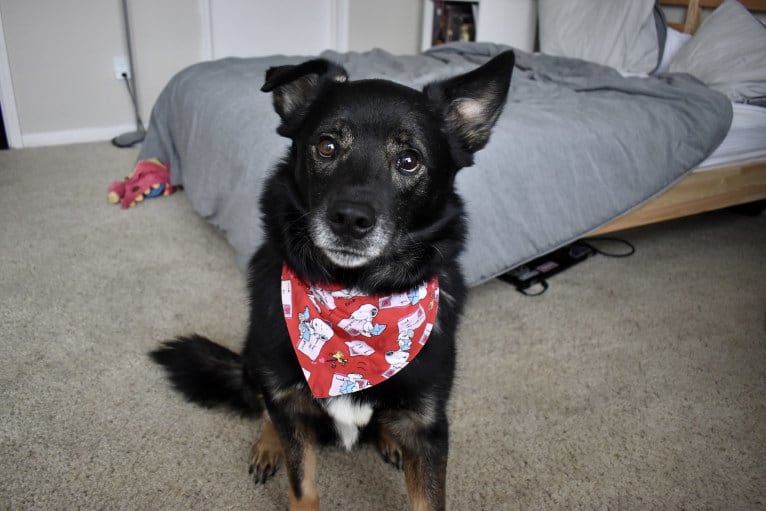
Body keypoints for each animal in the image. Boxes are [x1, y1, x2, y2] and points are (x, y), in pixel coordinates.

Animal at [152, 49, 516, 511]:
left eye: (409, 160)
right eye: (326, 146)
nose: (350, 220)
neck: (353, 293)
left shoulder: (427, 426)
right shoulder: (289, 400)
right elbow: (301, 483)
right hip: (256, 357)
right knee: (266, 407)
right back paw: (268, 444)